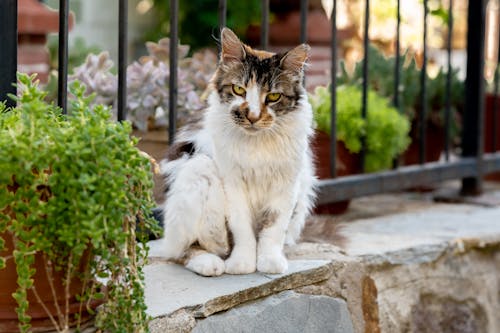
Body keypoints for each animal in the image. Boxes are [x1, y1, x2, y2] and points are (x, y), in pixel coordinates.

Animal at [160, 27, 316, 274]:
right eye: (239, 90)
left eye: (273, 96)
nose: (252, 116)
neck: (257, 143)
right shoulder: (233, 183)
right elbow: (242, 228)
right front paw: (242, 263)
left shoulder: (286, 185)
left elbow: (273, 228)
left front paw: (269, 261)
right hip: (198, 168)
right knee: (181, 251)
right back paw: (211, 262)